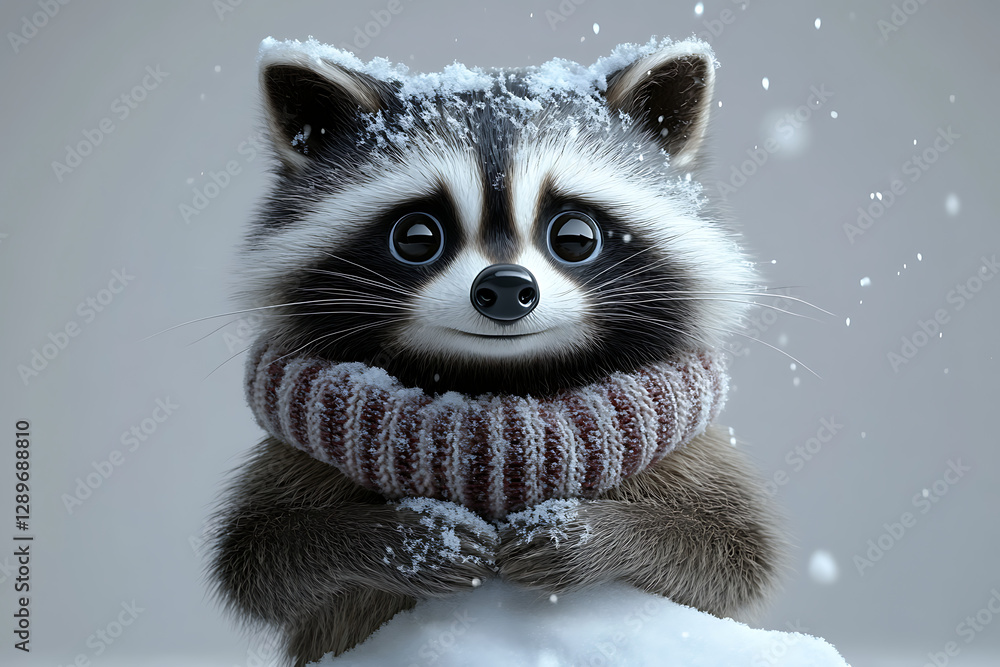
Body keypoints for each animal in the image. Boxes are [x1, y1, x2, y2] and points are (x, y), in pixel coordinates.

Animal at [209, 37, 785, 666]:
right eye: (417, 236)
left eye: (575, 236)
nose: (507, 288)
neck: (500, 381)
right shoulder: (295, 460)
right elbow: (258, 559)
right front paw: (402, 539)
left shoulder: (687, 453)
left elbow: (733, 552)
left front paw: (592, 533)